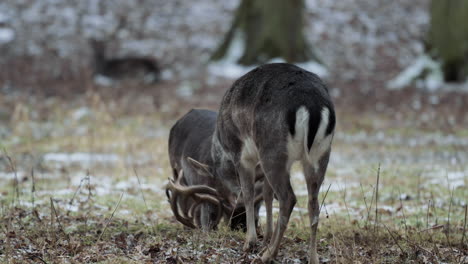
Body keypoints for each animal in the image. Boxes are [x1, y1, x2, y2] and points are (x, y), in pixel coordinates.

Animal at [166, 63, 334, 262]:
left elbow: (248, 193)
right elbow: (267, 195)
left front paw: (251, 242)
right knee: (313, 204)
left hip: (273, 150)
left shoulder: (242, 155)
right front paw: (265, 238)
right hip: (319, 154)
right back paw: (312, 257)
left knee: (288, 198)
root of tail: (312, 105)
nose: (233, 220)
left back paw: (268, 255)